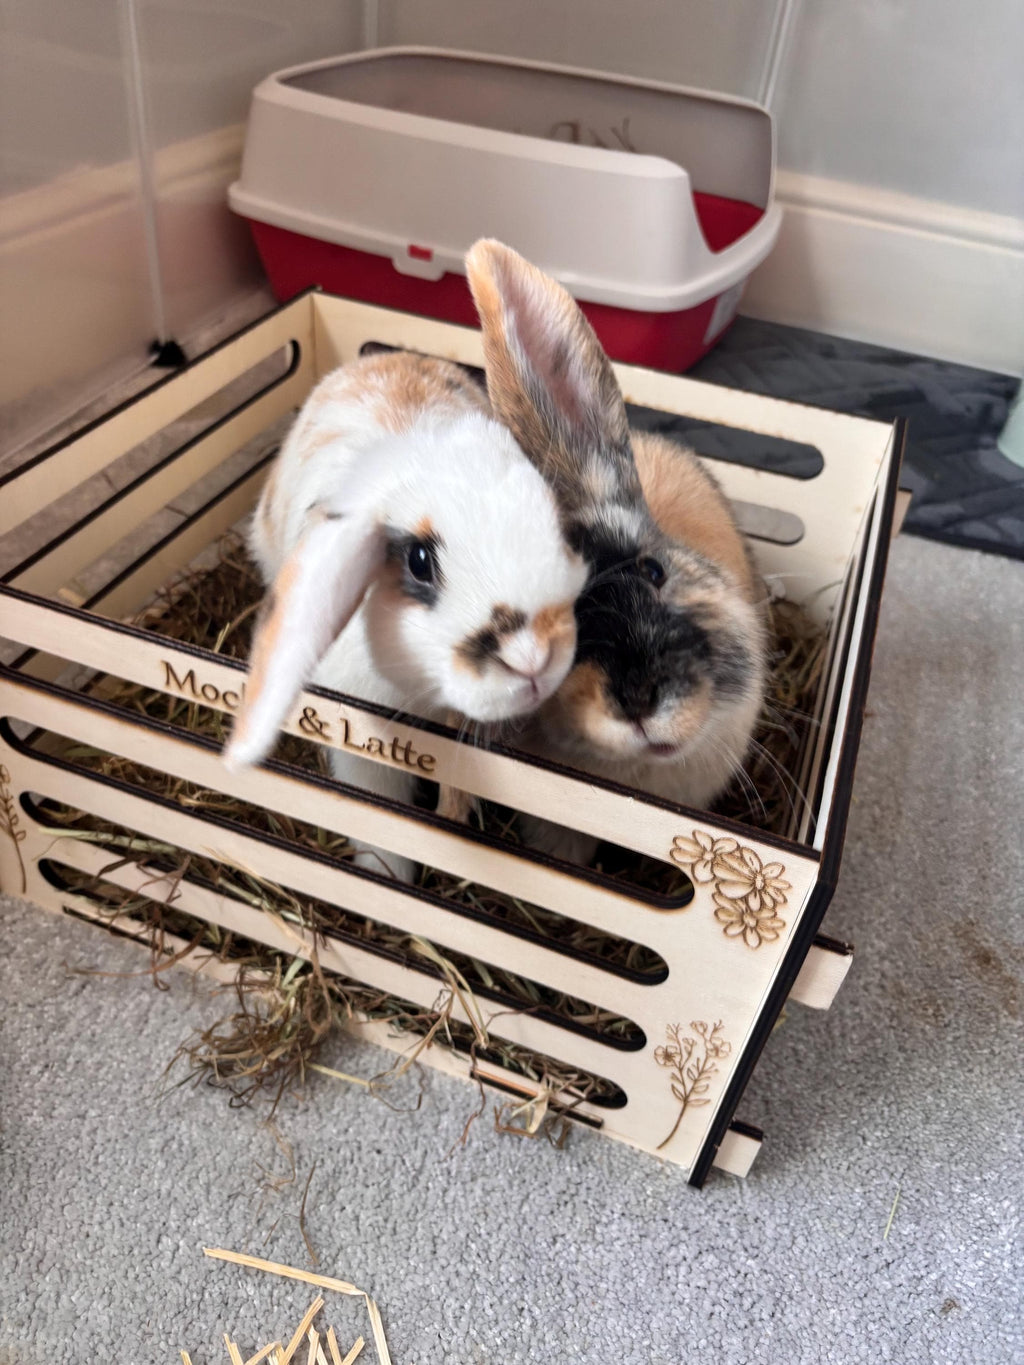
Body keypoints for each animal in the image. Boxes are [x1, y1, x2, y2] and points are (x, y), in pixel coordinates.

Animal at [223, 348, 588, 882]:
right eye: (419, 561)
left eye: (557, 528)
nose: (533, 660)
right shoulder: (363, 744)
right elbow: (382, 826)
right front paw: (385, 878)